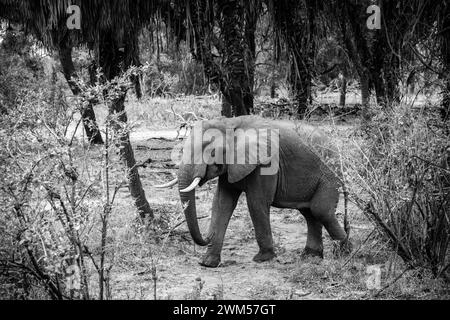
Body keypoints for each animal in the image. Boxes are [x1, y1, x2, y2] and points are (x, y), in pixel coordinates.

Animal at [155, 115, 348, 268]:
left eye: (211, 152)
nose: (207, 236)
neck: (230, 123)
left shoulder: (266, 163)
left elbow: (256, 203)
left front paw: (263, 258)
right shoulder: (231, 166)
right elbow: (221, 204)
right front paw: (207, 263)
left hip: (330, 174)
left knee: (320, 210)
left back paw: (345, 251)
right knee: (309, 213)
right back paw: (311, 256)